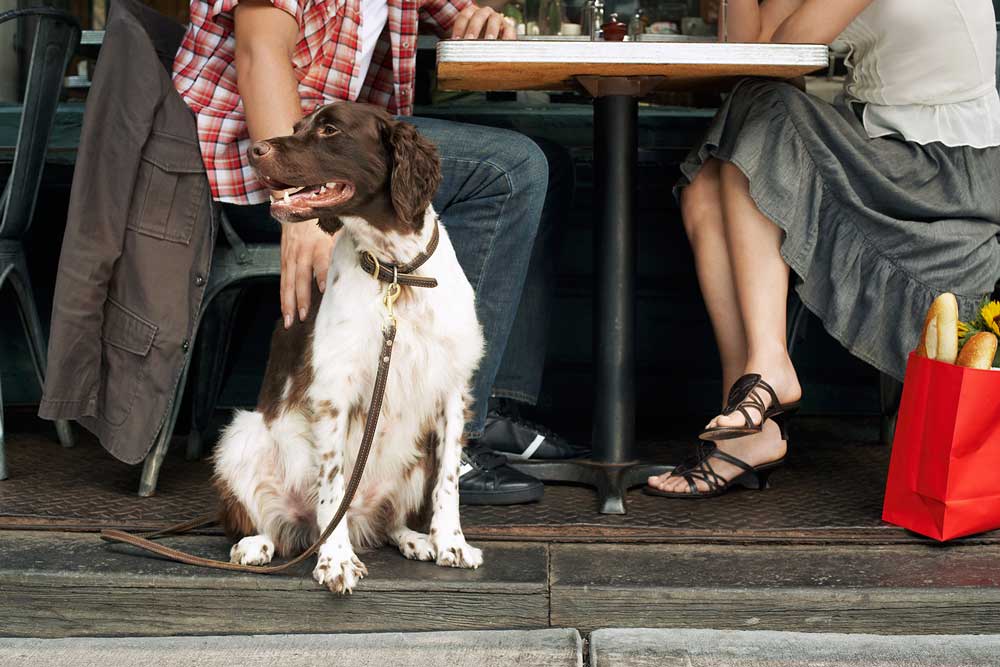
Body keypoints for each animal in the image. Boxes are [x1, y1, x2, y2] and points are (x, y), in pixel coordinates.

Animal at [213, 102, 486, 592]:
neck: (396, 272)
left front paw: (451, 543)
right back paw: (257, 545)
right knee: (270, 523)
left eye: (329, 129)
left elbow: (449, 480)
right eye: (297, 126)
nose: (253, 149)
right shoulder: (333, 393)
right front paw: (336, 559)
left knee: (387, 522)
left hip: (415, 461)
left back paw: (415, 539)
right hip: (242, 436)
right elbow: (334, 484)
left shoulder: (453, 389)